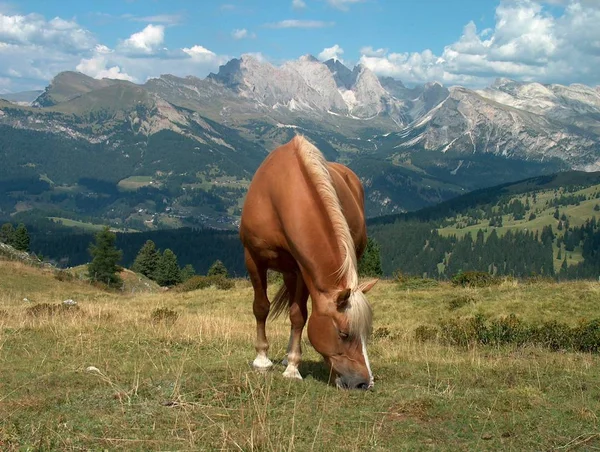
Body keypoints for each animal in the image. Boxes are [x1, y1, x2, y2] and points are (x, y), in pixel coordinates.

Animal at [238, 133, 376, 388]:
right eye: (343, 334)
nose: (364, 383)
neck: (278, 195)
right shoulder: (253, 258)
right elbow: (261, 307)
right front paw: (262, 360)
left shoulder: (302, 269)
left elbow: (298, 316)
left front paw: (293, 366)